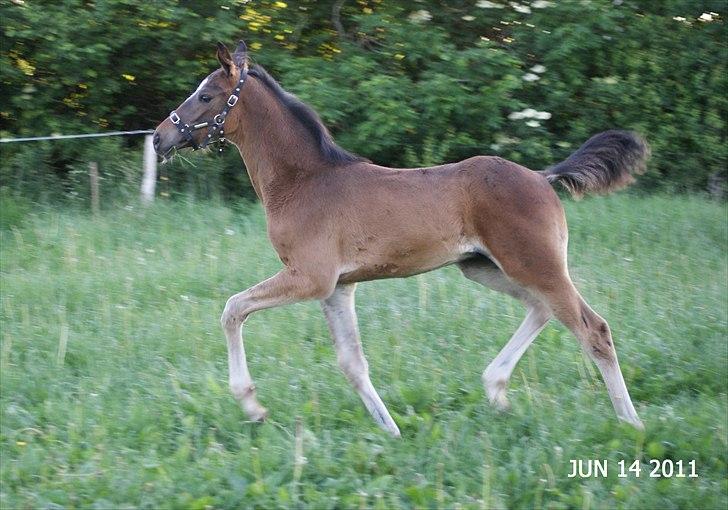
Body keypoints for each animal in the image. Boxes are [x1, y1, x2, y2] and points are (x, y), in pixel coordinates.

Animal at [152, 40, 648, 438]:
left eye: (206, 95)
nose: (160, 137)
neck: (304, 181)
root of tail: (544, 177)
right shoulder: (338, 287)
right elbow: (352, 363)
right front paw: (391, 431)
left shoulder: (310, 277)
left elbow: (233, 308)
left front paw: (251, 404)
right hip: (484, 267)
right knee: (543, 309)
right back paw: (496, 390)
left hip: (535, 264)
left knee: (593, 329)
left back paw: (632, 424)